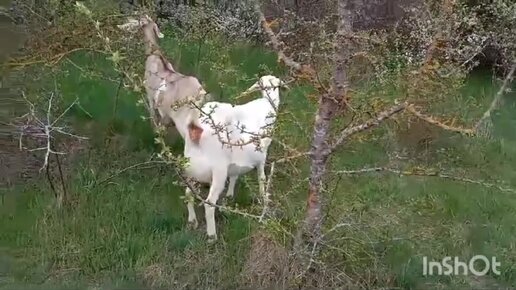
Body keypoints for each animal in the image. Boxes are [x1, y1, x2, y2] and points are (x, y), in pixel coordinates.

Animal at [163, 75, 284, 240]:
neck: (267, 103)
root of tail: (195, 127)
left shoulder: (235, 160)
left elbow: (234, 176)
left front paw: (230, 195)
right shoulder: (262, 153)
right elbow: (262, 177)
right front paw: (263, 198)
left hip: (191, 168)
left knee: (188, 193)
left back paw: (192, 221)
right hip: (218, 170)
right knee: (209, 203)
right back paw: (212, 236)